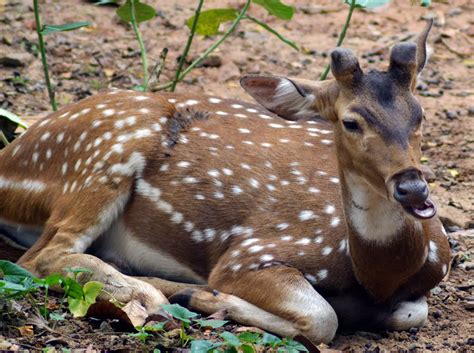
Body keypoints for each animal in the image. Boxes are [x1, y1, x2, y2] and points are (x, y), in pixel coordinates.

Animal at [0, 21, 450, 340]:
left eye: (420, 114)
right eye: (350, 121)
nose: (413, 189)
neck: (377, 275)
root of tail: (11, 154)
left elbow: (413, 312)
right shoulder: (250, 253)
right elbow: (324, 317)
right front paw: (202, 294)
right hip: (106, 153)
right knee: (41, 258)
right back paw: (154, 293)